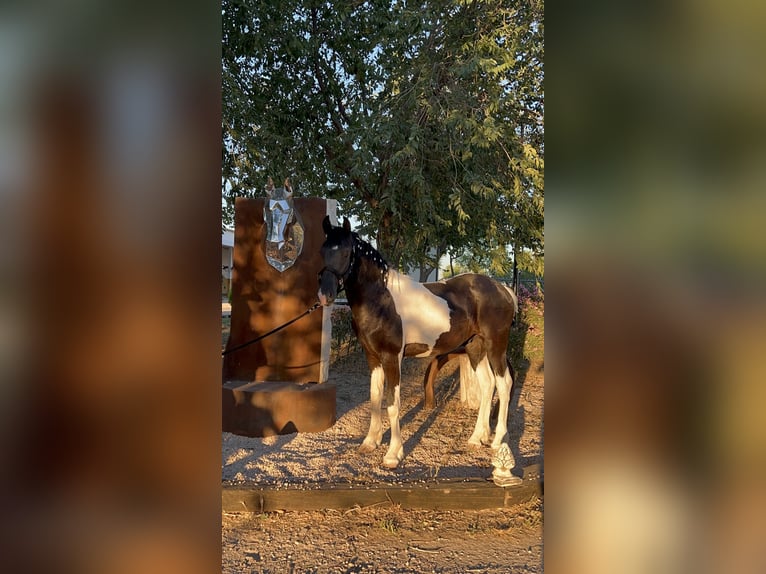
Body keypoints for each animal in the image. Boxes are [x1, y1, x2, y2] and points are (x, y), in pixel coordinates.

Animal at [317, 216, 518, 469]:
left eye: (345, 252)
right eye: (323, 250)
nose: (325, 295)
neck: (381, 300)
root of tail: (503, 289)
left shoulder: (392, 357)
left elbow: (392, 404)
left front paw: (393, 454)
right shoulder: (372, 357)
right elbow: (374, 398)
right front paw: (370, 442)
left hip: (495, 346)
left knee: (504, 384)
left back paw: (498, 440)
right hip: (475, 348)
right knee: (487, 385)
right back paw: (477, 438)